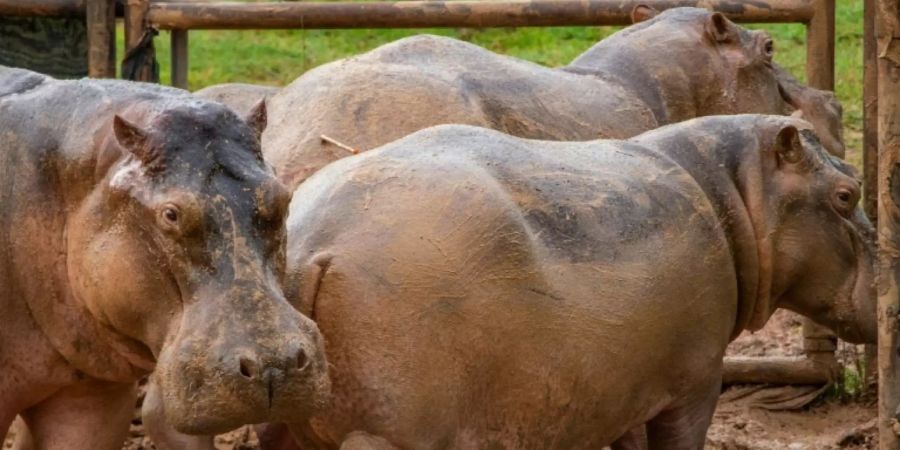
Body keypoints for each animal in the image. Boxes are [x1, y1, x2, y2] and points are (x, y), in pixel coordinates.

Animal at [272, 114, 872, 448]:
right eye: (847, 193)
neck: (734, 191)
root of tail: (312, 247)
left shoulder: (623, 388)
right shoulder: (697, 380)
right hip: (386, 434)